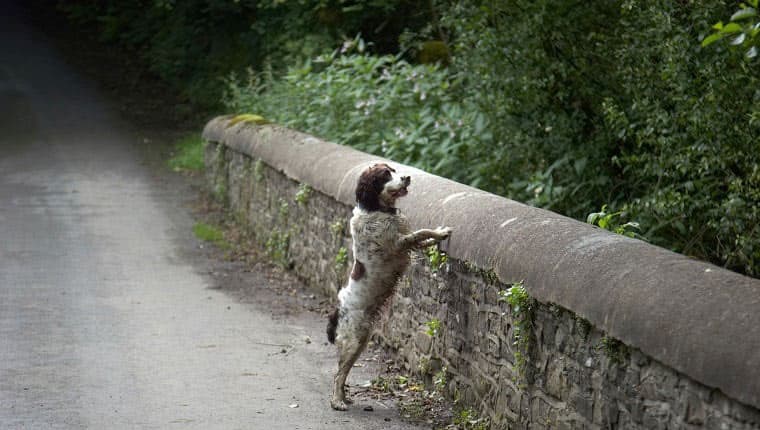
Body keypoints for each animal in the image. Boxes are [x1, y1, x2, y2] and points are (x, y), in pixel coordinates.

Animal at [322, 163, 452, 412]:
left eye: (393, 169)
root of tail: (336, 315)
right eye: (384, 175)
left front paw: (436, 238)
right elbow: (420, 233)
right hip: (353, 342)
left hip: (361, 341)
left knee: (343, 374)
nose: (407, 177)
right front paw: (440, 232)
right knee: (337, 375)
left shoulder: (403, 240)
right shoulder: (397, 243)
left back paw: (344, 398)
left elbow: (421, 239)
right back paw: (336, 402)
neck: (376, 209)